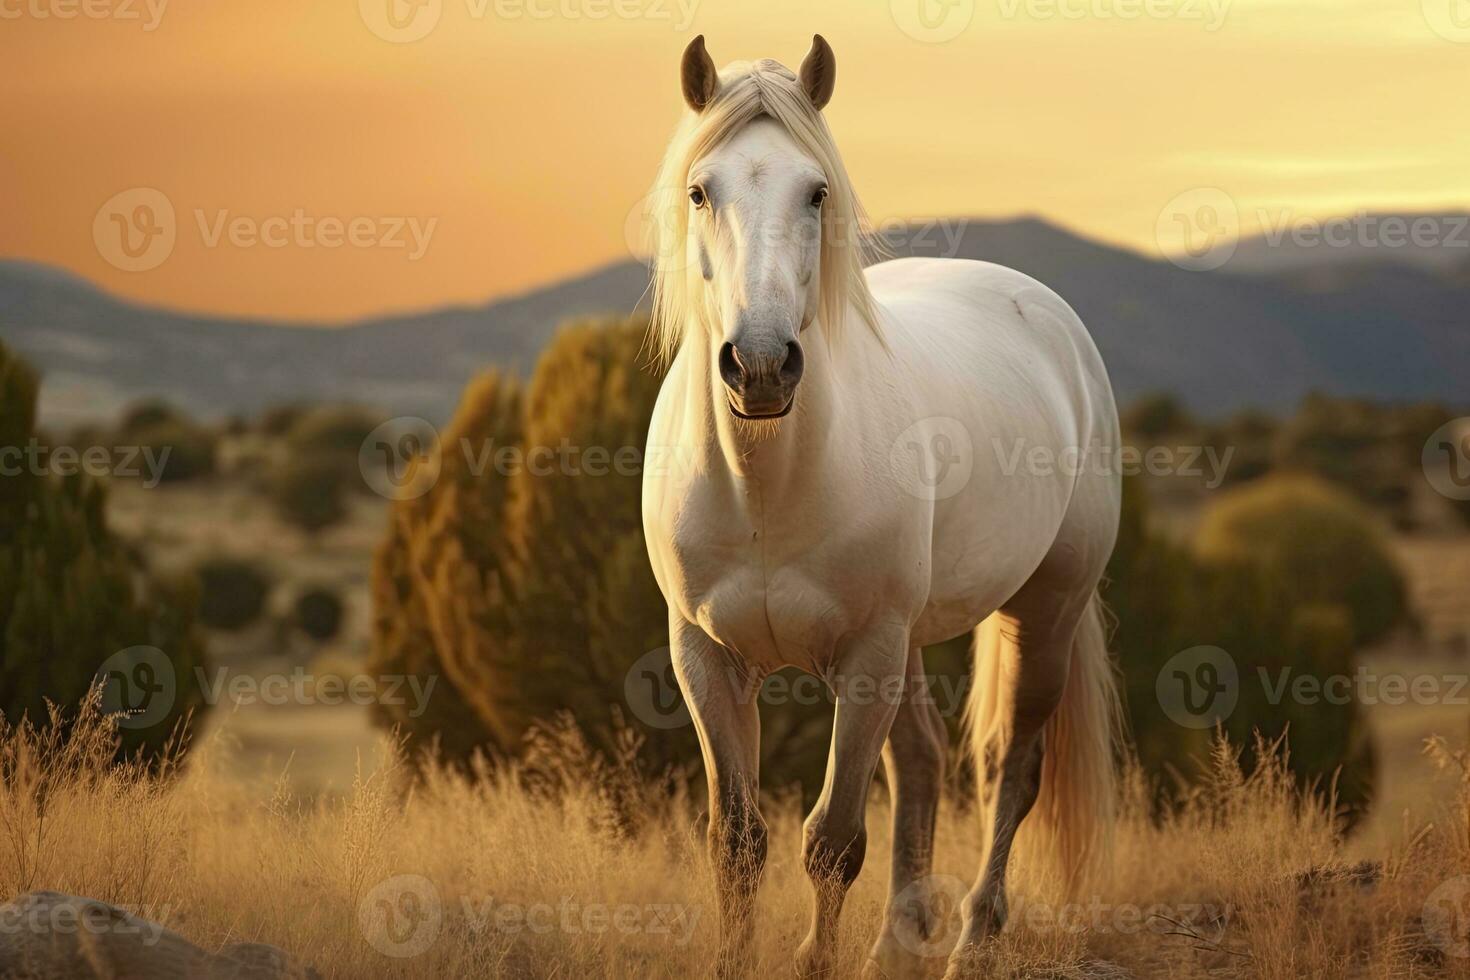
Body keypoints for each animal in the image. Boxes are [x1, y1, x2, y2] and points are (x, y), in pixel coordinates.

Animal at [643, 32, 1123, 980]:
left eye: (816, 191)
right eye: (699, 190)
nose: (760, 366)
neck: (767, 484)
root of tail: (1052, 318)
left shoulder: (865, 660)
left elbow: (831, 842)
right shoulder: (705, 658)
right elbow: (737, 842)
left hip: (1041, 613)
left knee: (1011, 768)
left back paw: (973, 939)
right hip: (911, 642)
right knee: (927, 760)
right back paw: (899, 941)